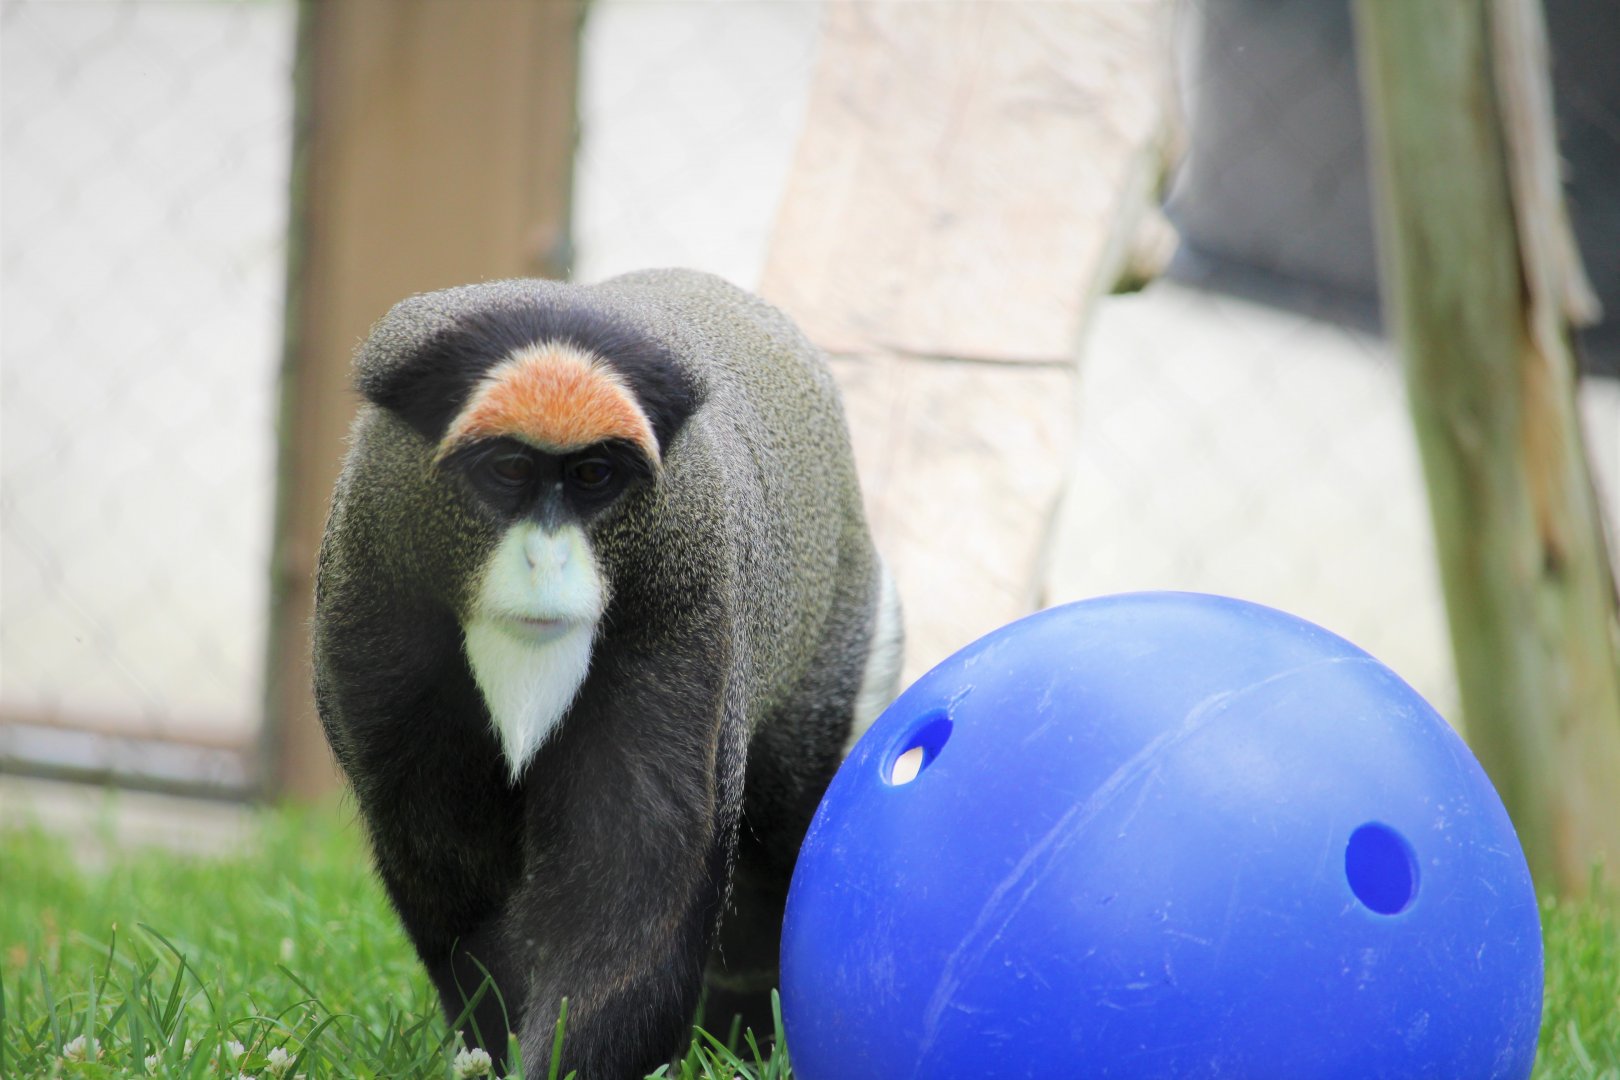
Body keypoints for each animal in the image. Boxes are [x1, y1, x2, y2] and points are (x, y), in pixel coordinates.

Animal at [312, 269, 903, 1078]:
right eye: (510, 468)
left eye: (593, 474)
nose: (546, 561)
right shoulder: (369, 605)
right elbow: (442, 859)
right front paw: (492, 1044)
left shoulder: (688, 604)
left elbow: (637, 865)